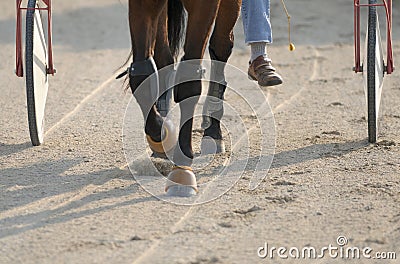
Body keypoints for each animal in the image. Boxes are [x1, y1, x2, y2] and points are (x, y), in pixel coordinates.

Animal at [126, 0, 241, 196]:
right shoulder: (142, 3)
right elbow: (141, 75)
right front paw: (163, 137)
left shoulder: (205, 6)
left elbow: (189, 79)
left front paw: (182, 169)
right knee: (164, 56)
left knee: (222, 45)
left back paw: (213, 130)